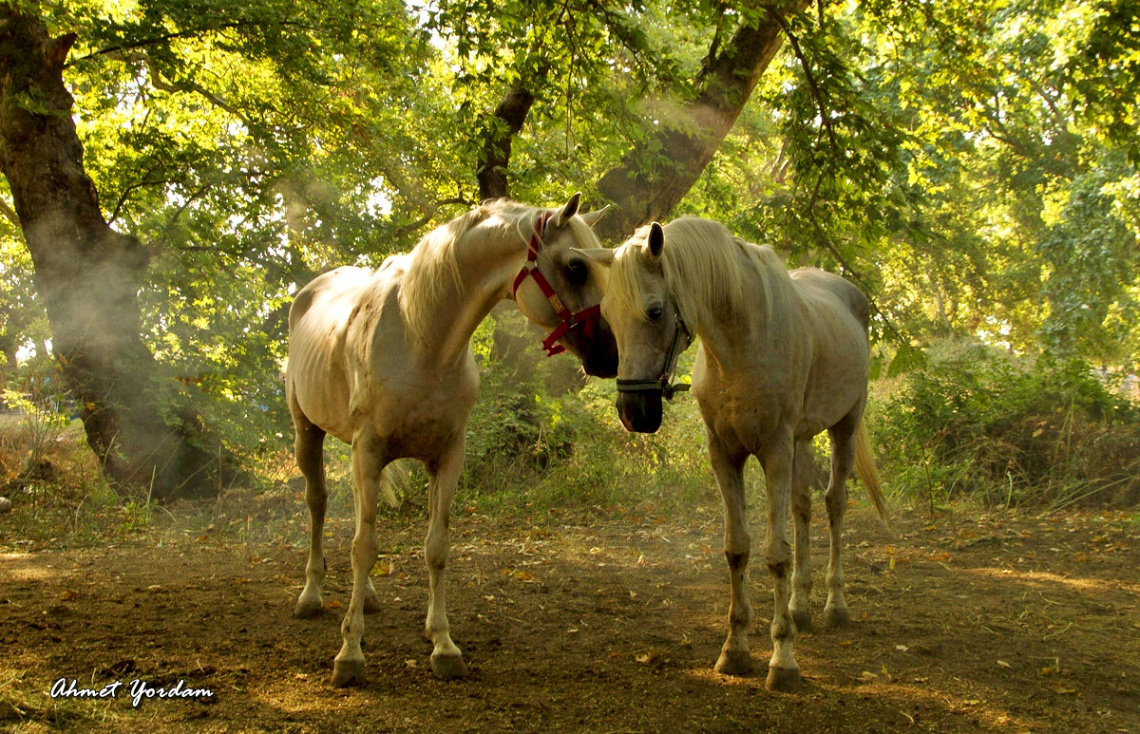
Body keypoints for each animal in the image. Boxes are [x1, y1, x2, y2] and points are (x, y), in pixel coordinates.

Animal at [289, 194, 620, 688]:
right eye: (576, 266)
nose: (610, 354)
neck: (422, 337)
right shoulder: (368, 449)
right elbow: (364, 548)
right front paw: (350, 652)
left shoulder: (446, 456)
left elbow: (435, 548)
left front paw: (443, 644)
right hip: (306, 434)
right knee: (318, 505)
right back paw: (311, 595)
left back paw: (367, 596)